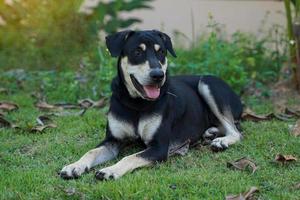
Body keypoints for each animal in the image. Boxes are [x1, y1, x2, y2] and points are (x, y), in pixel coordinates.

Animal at [59, 30, 243, 181]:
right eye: (137, 52)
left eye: (161, 52)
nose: (158, 75)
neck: (137, 103)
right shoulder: (112, 140)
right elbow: (91, 151)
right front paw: (74, 166)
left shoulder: (159, 147)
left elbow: (130, 157)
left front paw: (110, 170)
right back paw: (211, 132)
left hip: (208, 83)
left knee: (236, 131)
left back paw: (222, 141)